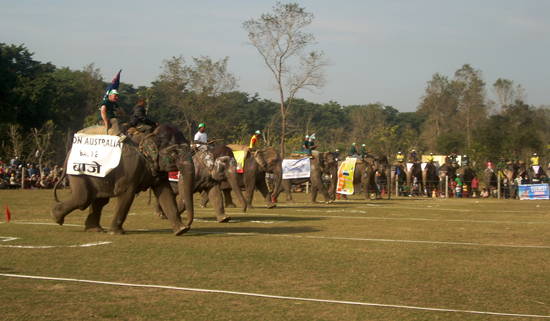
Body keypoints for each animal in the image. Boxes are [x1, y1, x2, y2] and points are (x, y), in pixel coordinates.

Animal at [50, 125, 196, 235]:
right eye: (174, 152)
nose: (188, 225)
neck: (149, 135)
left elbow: (166, 194)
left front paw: (181, 230)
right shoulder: (130, 168)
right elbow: (127, 193)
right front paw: (116, 233)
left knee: (99, 200)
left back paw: (94, 229)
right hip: (78, 172)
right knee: (83, 198)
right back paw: (56, 217)